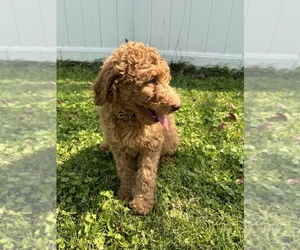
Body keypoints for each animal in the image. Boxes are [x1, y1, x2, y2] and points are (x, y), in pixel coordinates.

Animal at [93, 41, 180, 215]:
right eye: (152, 80)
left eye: (166, 80)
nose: (177, 106)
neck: (129, 117)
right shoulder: (118, 146)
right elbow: (124, 170)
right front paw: (126, 192)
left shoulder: (152, 145)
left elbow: (146, 174)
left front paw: (142, 203)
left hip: (171, 139)